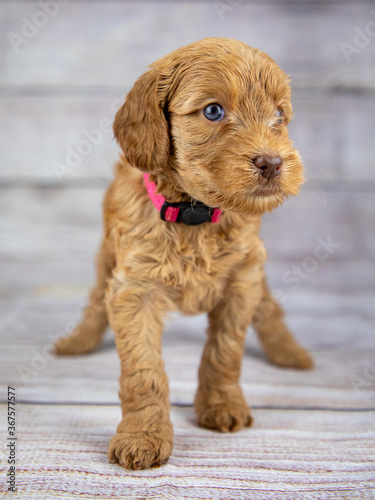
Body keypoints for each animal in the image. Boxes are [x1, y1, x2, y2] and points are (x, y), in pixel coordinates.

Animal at [55, 38, 314, 468]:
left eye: (279, 114)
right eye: (213, 111)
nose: (273, 162)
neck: (195, 215)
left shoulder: (242, 280)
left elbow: (225, 351)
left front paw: (222, 404)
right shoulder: (134, 290)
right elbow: (144, 372)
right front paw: (142, 437)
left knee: (268, 306)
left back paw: (289, 351)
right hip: (107, 258)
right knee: (95, 300)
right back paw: (78, 341)